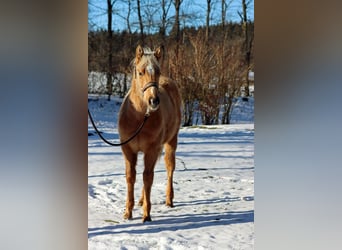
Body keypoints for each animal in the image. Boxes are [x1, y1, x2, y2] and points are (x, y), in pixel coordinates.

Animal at [117, 45, 182, 223]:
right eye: (140, 72)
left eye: (157, 71)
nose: (154, 101)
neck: (140, 116)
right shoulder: (128, 150)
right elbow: (131, 177)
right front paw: (128, 212)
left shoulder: (152, 150)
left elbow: (148, 178)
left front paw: (146, 214)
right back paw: (140, 200)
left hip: (171, 142)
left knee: (169, 168)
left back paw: (169, 200)